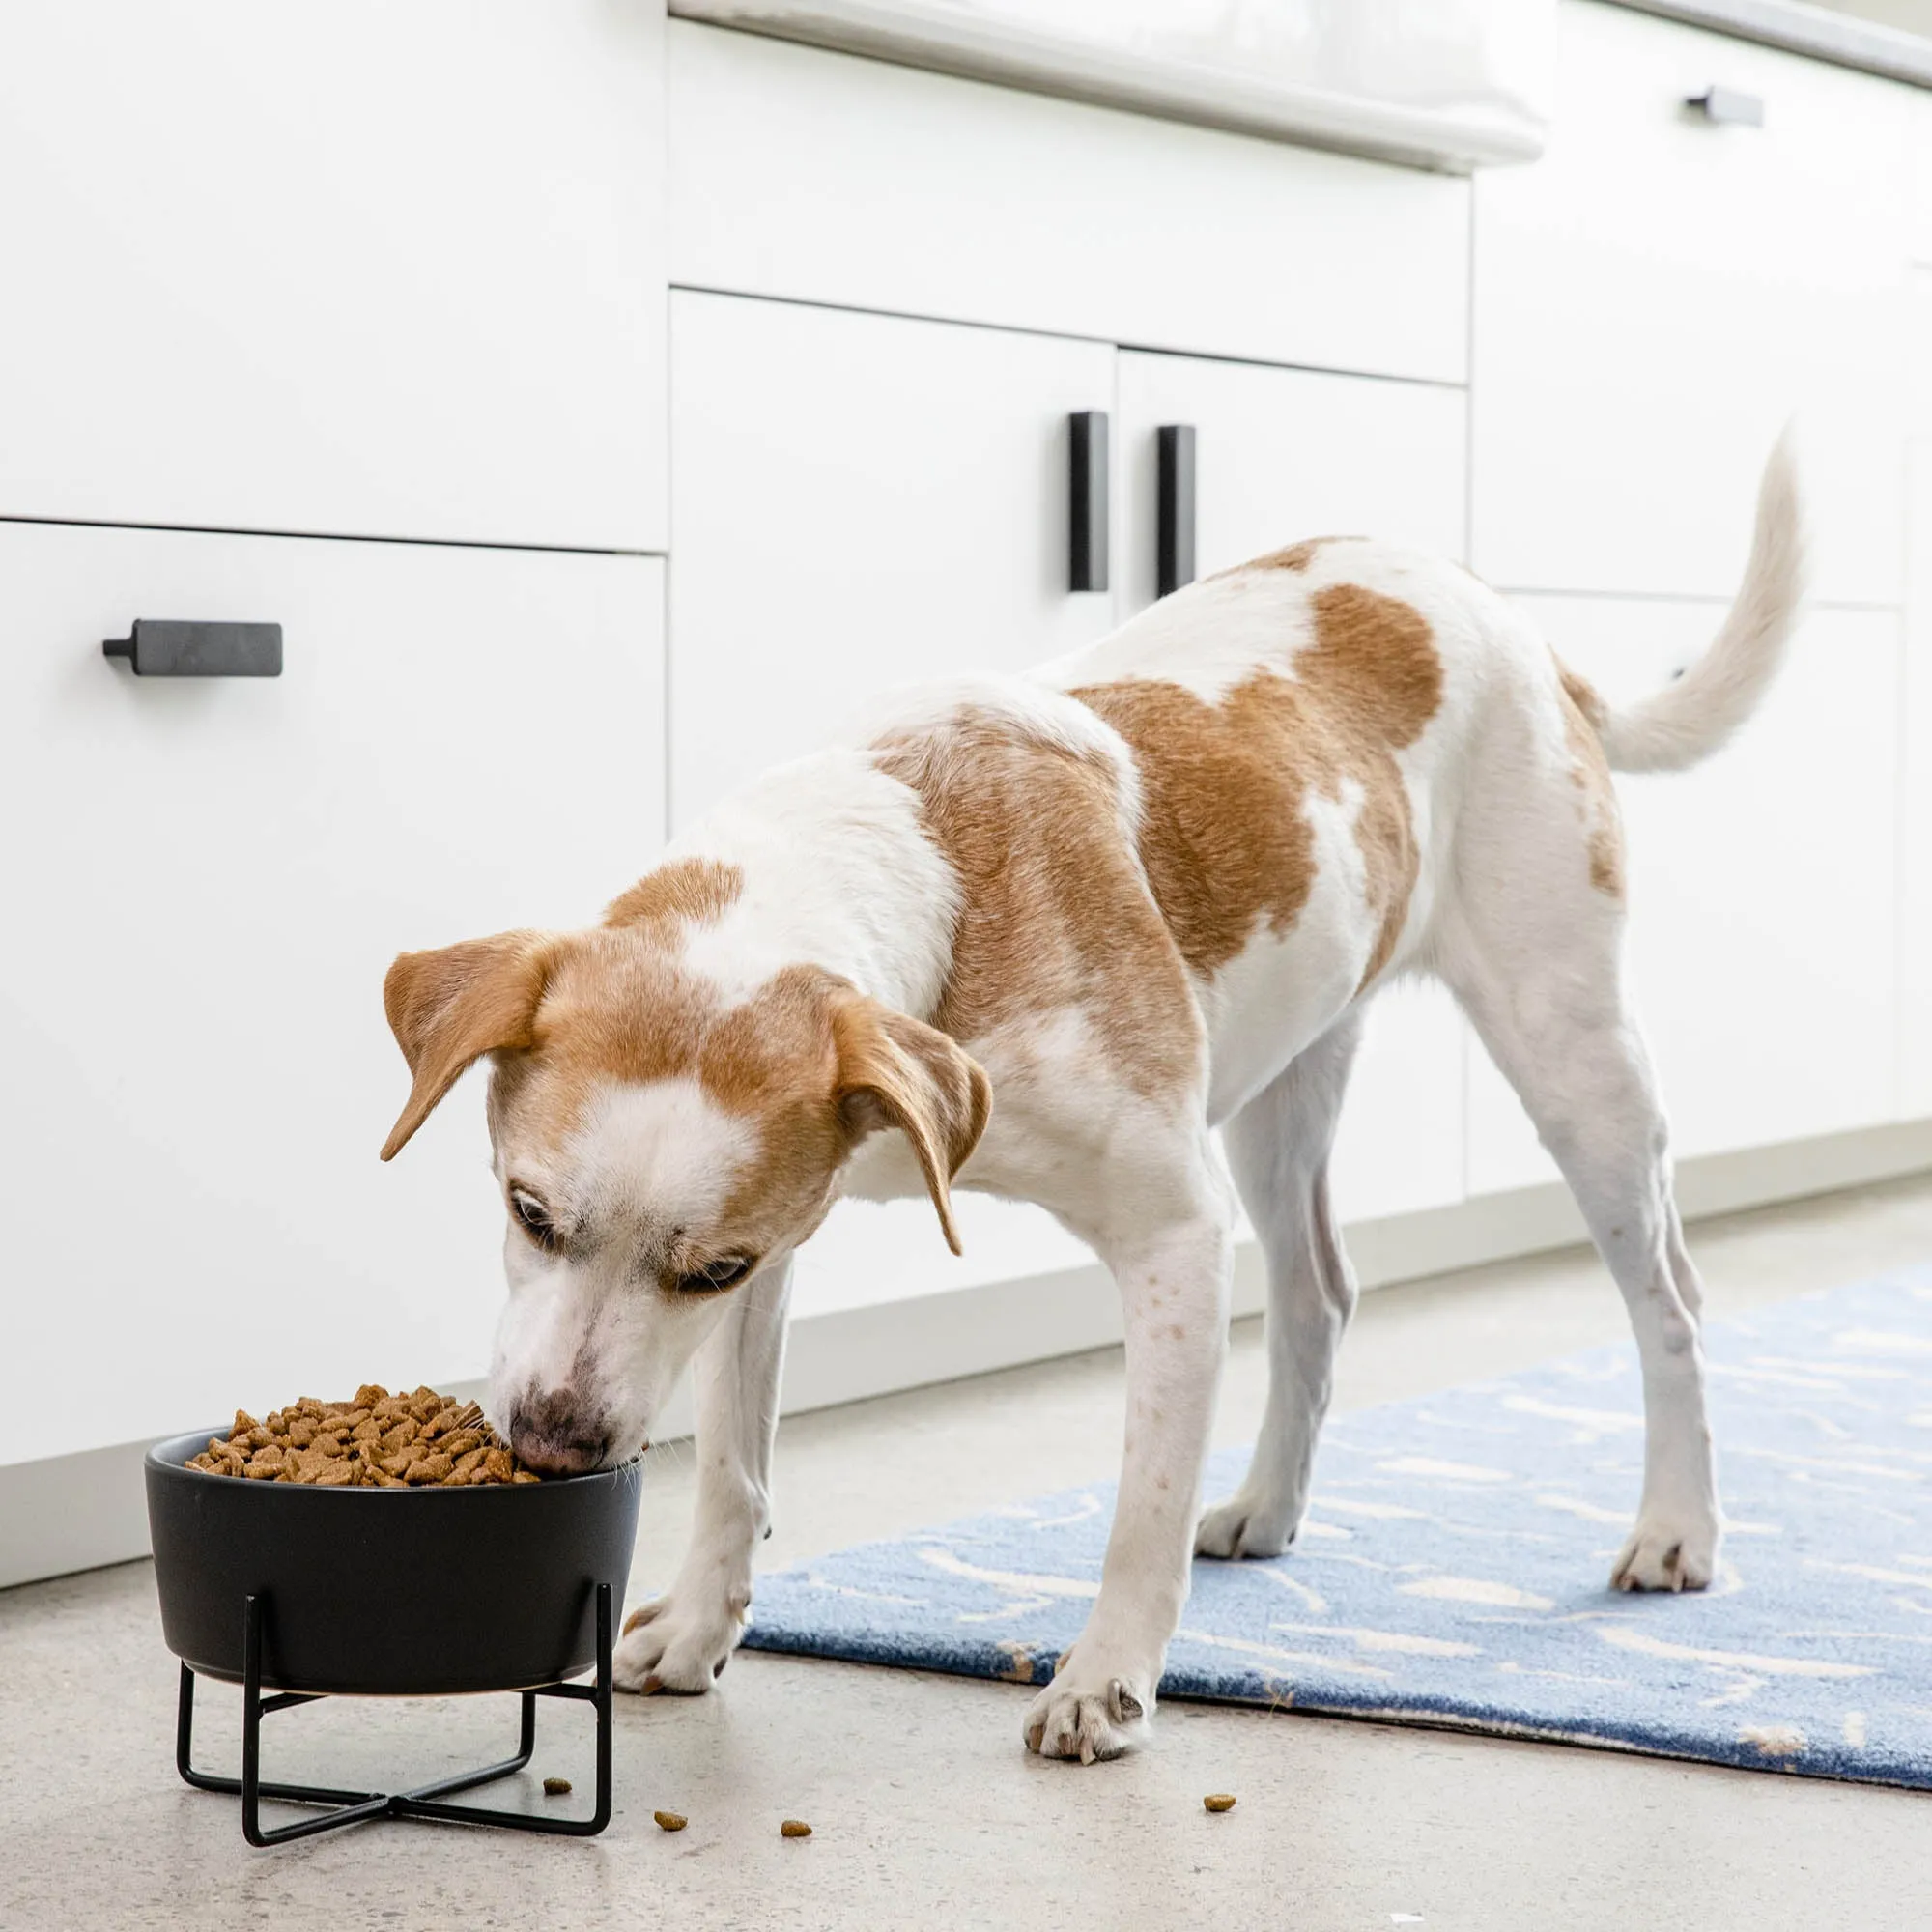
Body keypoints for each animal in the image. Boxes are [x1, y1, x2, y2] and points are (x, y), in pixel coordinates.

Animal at [381, 442, 1808, 1770]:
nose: (553, 1441)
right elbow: (734, 1461)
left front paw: (1107, 1681)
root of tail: (1505, 614)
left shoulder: (1162, 1232)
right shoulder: (790, 1231)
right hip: (1282, 1089)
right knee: (1319, 1294)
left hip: (1570, 1058)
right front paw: (695, 1628)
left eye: (705, 1266)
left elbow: (1143, 1501)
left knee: (1668, 1302)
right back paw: (1268, 1507)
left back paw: (1677, 1529)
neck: (931, 872)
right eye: (527, 1211)